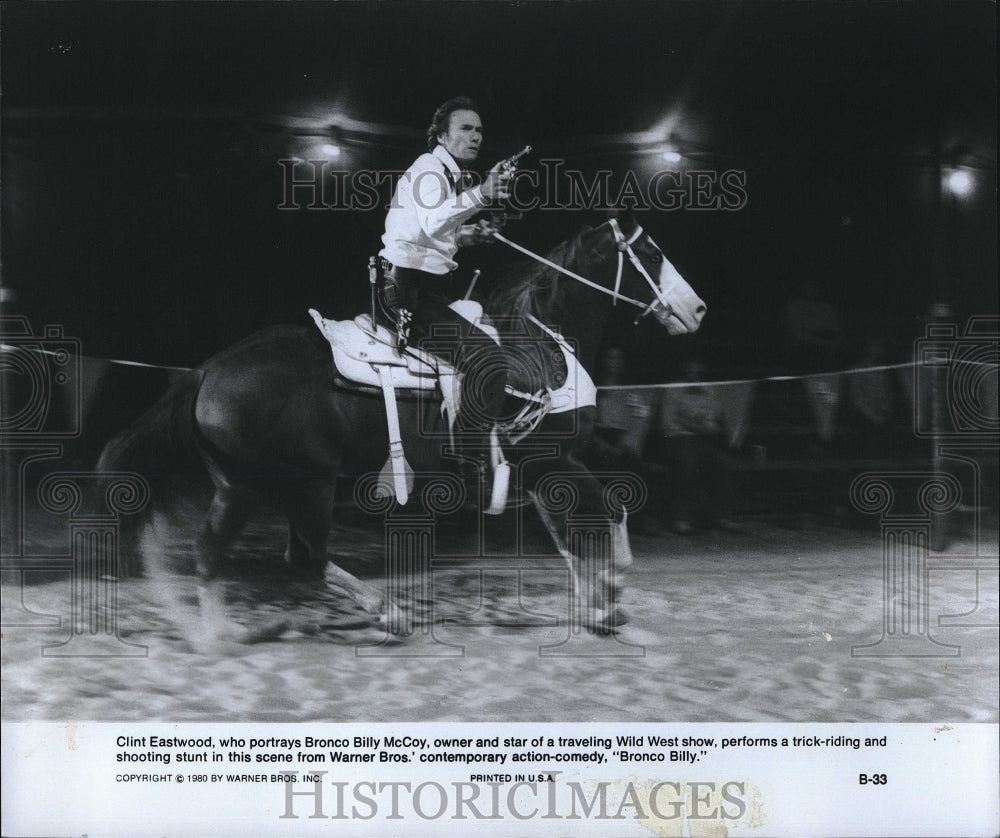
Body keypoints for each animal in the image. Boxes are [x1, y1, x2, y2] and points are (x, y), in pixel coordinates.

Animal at [94, 213, 704, 640]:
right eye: (652, 251)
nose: (697, 309)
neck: (543, 346)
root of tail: (207, 370)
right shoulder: (554, 462)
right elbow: (607, 514)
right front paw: (611, 595)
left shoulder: (540, 473)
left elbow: (573, 537)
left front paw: (598, 606)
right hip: (293, 484)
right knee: (292, 556)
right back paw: (366, 615)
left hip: (248, 484)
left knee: (246, 554)